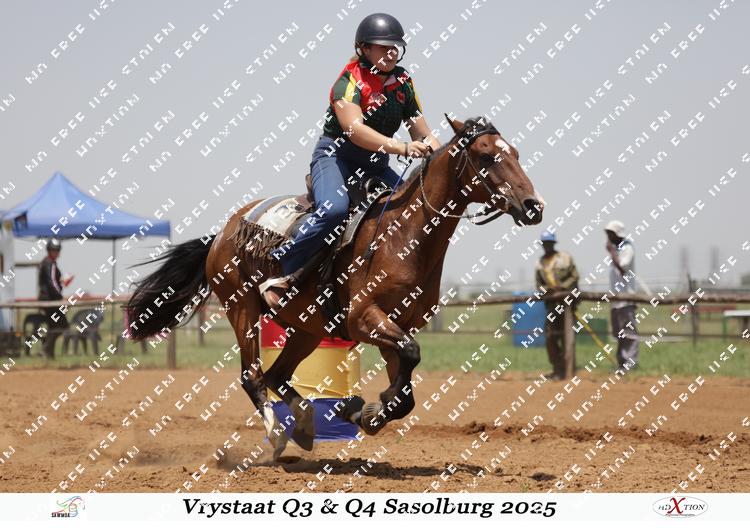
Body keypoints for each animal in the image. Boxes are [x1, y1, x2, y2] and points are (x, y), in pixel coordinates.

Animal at [125, 115, 544, 460]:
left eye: (516, 153)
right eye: (486, 156)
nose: (532, 205)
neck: (403, 234)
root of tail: (222, 234)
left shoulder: (396, 324)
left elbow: (405, 389)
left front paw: (364, 412)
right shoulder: (364, 318)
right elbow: (410, 356)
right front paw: (364, 410)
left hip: (307, 329)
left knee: (276, 376)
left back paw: (306, 425)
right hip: (242, 308)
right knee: (253, 376)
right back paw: (277, 435)